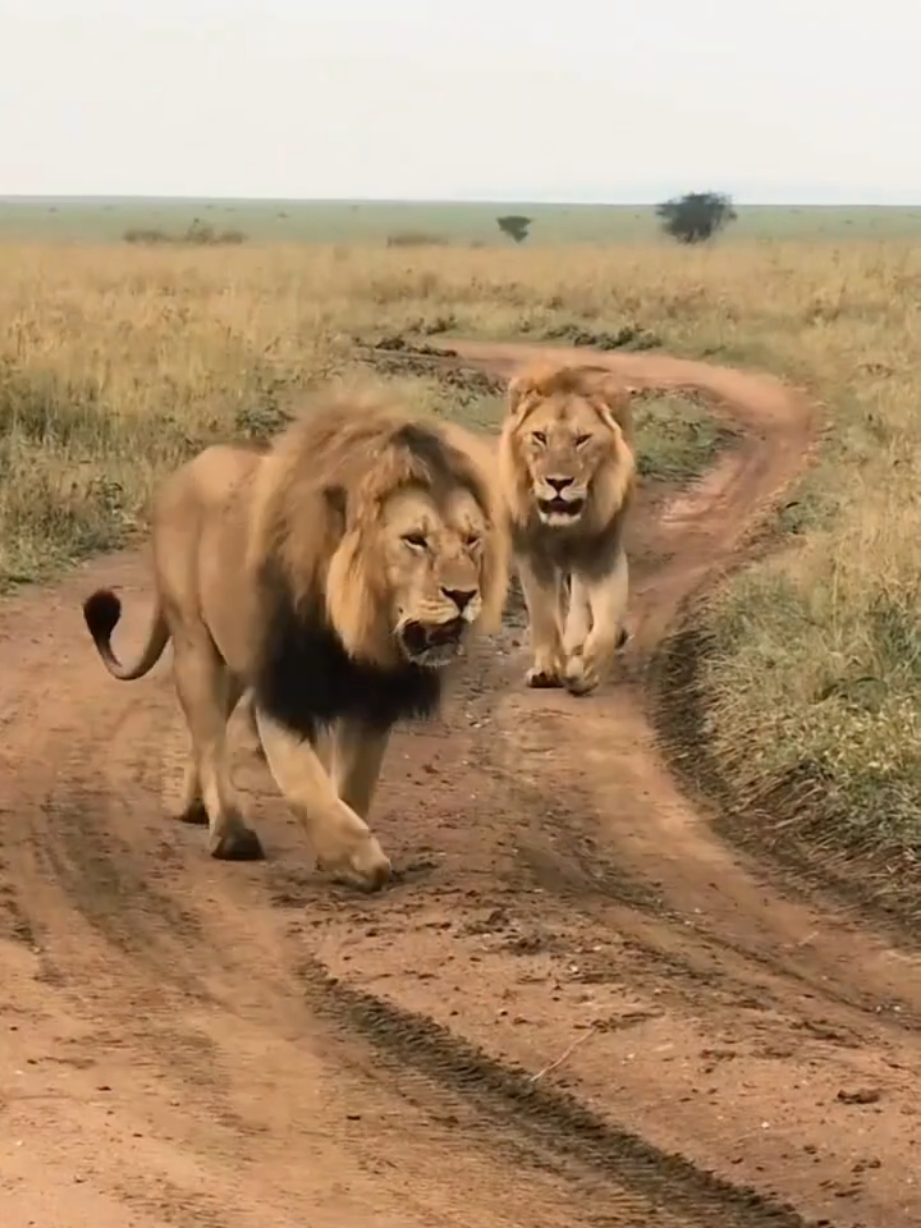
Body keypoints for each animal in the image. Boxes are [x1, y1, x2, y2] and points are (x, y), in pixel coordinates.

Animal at [81, 389, 509, 891]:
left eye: (472, 539)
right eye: (415, 540)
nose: (464, 595)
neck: (354, 626)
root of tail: (183, 473)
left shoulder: (373, 698)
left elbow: (355, 784)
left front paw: (342, 850)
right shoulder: (283, 691)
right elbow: (307, 787)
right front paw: (360, 860)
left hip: (235, 656)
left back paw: (194, 805)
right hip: (194, 641)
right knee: (209, 733)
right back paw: (230, 833)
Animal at [497, 362, 637, 697]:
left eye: (582, 439)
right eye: (540, 437)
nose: (558, 482)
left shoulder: (602, 551)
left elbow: (605, 625)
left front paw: (583, 671)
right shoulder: (531, 552)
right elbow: (544, 617)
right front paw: (548, 670)